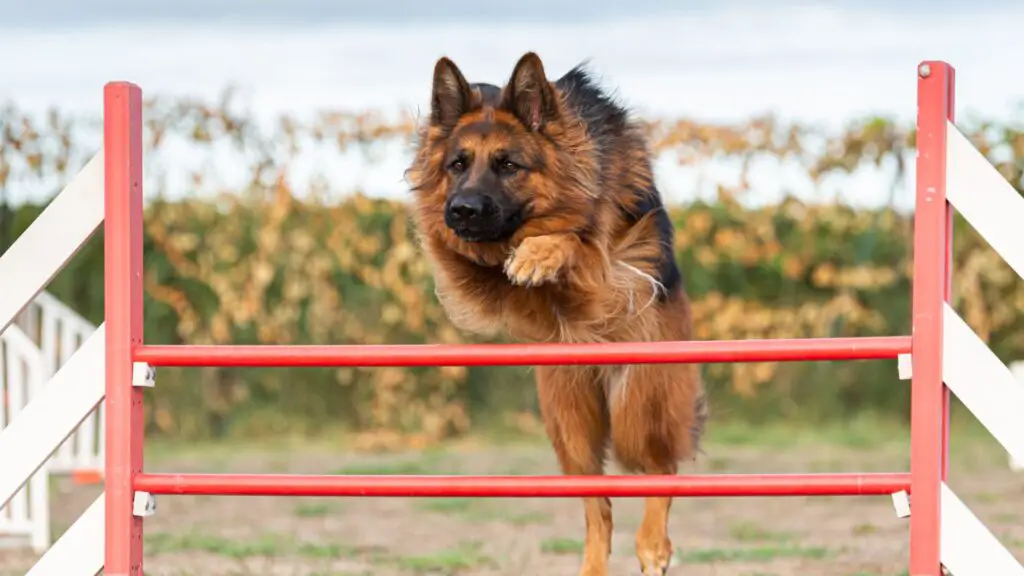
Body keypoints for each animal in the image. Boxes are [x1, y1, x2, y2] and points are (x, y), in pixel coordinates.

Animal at [403, 51, 708, 569]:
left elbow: (577, 239)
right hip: (570, 423)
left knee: (659, 466)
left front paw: (539, 253)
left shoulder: (609, 270)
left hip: (640, 402)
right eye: (456, 165)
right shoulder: (470, 269)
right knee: (597, 508)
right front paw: (526, 253)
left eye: (508, 164)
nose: (461, 210)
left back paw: (652, 544)